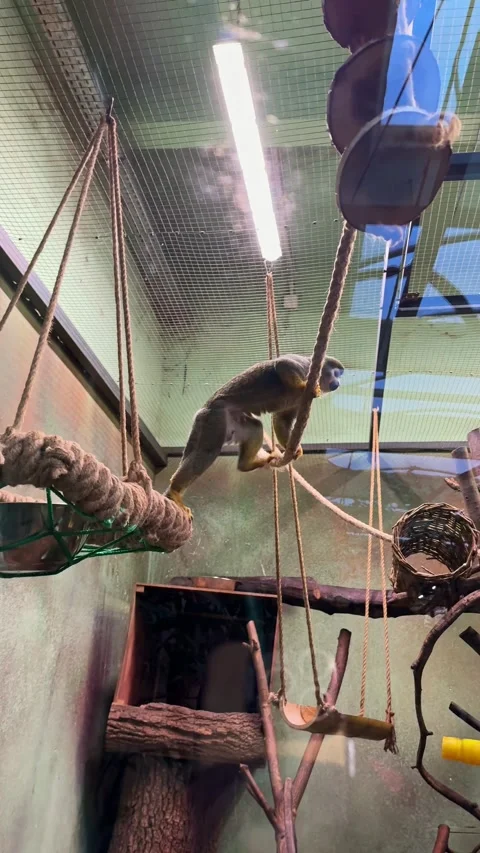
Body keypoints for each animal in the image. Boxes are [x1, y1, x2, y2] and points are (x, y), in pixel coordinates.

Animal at [164, 353, 344, 517]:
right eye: (335, 373)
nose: (338, 383)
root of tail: (204, 409)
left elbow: (282, 420)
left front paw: (293, 449)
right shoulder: (306, 366)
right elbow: (282, 364)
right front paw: (304, 386)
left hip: (231, 421)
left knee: (255, 428)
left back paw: (246, 464)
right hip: (214, 418)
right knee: (207, 451)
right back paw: (174, 491)